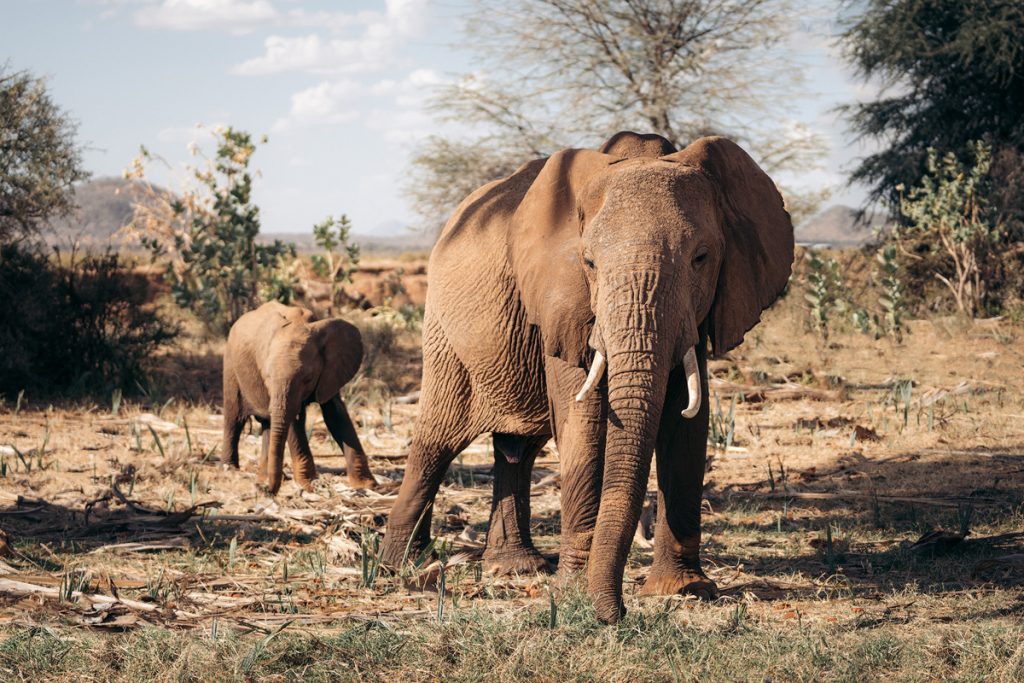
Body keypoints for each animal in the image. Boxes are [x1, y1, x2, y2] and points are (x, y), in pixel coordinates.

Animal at [220, 301, 376, 493]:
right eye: (267, 377)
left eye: (307, 378)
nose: (263, 489)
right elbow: (294, 422)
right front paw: (309, 485)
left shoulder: (330, 372)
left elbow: (335, 414)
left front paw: (367, 485)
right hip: (230, 366)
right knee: (234, 418)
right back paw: (230, 470)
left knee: (267, 424)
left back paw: (264, 476)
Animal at [380, 131, 794, 622]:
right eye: (589, 263)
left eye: (701, 258)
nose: (617, 614)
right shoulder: (563, 301)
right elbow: (585, 422)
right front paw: (574, 590)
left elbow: (687, 424)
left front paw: (685, 591)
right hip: (445, 332)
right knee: (437, 440)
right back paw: (402, 568)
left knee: (517, 448)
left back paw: (514, 569)